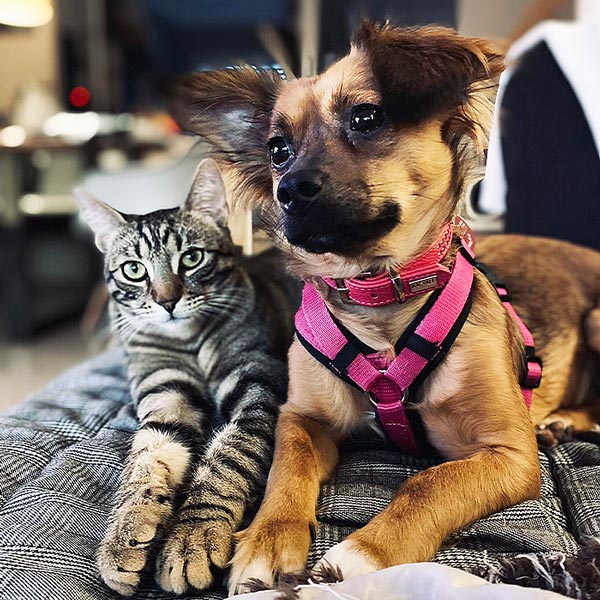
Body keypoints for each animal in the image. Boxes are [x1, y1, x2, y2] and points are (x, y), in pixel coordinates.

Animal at [76, 158, 298, 596]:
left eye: (192, 258)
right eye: (133, 270)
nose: (167, 301)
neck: (189, 340)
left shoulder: (258, 381)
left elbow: (228, 458)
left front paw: (191, 538)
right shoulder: (166, 390)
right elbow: (147, 458)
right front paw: (123, 536)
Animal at [173, 23, 600, 596]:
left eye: (366, 118)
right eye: (277, 150)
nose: (289, 192)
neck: (380, 299)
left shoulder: (509, 454)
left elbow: (432, 482)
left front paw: (368, 552)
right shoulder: (302, 417)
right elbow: (286, 470)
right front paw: (267, 538)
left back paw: (567, 420)